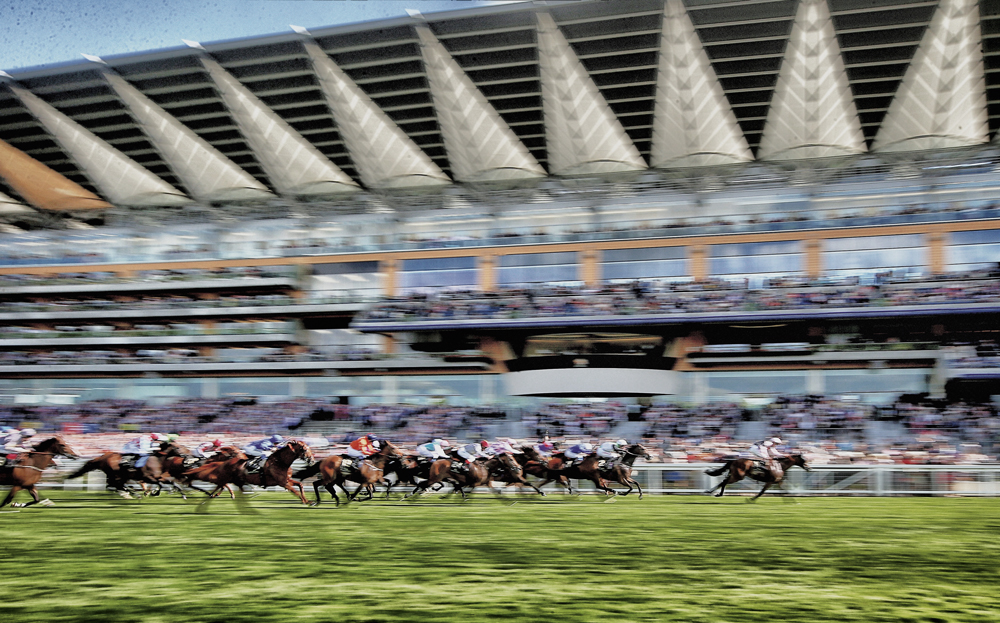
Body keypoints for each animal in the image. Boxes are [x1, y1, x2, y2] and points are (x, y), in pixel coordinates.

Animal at [184, 442, 314, 504]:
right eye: (305, 449)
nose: (312, 460)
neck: (280, 462)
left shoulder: (287, 480)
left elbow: (300, 486)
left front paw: (308, 500)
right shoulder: (282, 483)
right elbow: (295, 491)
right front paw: (304, 501)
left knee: (223, 485)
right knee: (221, 484)